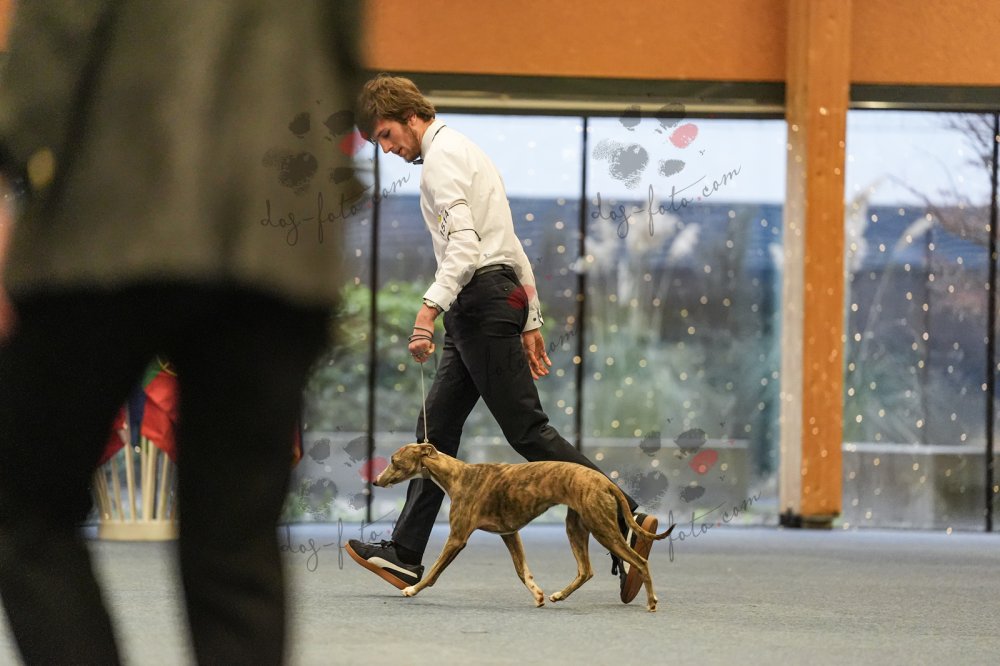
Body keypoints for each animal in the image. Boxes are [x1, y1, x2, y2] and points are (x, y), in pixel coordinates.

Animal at [372, 442, 675, 612]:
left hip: (602, 528)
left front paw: (412, 589)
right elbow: (522, 571)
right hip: (577, 527)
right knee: (585, 571)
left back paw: (651, 601)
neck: (459, 475)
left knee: (639, 561)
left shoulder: (458, 537)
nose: (375, 481)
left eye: (394, 461)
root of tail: (606, 482)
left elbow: (435, 571)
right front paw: (538, 595)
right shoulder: (509, 534)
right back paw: (558, 595)